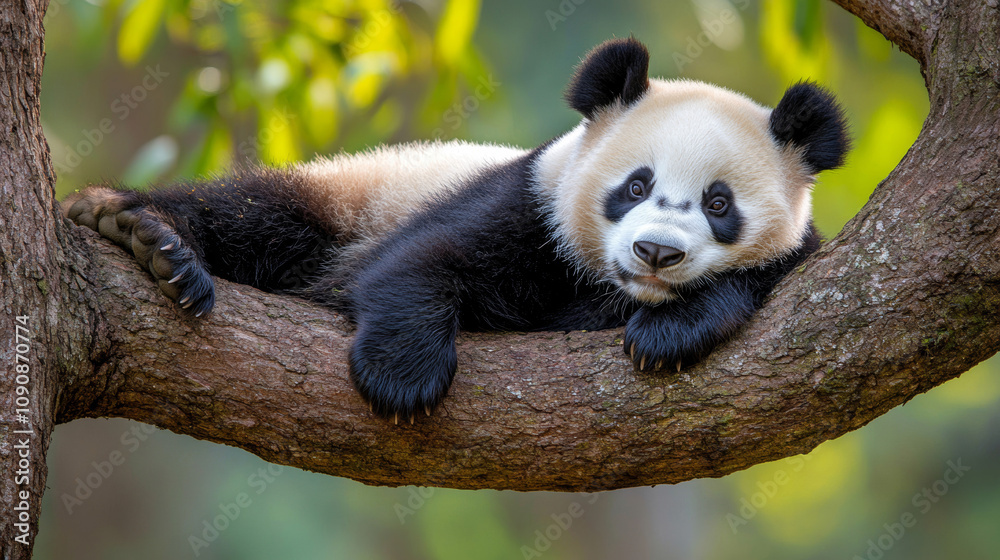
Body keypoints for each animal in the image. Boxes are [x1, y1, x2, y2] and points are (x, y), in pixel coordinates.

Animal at [63, 38, 848, 422]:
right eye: (635, 186)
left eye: (719, 203)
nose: (655, 252)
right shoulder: (525, 203)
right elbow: (415, 262)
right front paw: (402, 378)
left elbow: (762, 276)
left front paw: (671, 332)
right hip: (349, 198)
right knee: (258, 215)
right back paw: (145, 235)